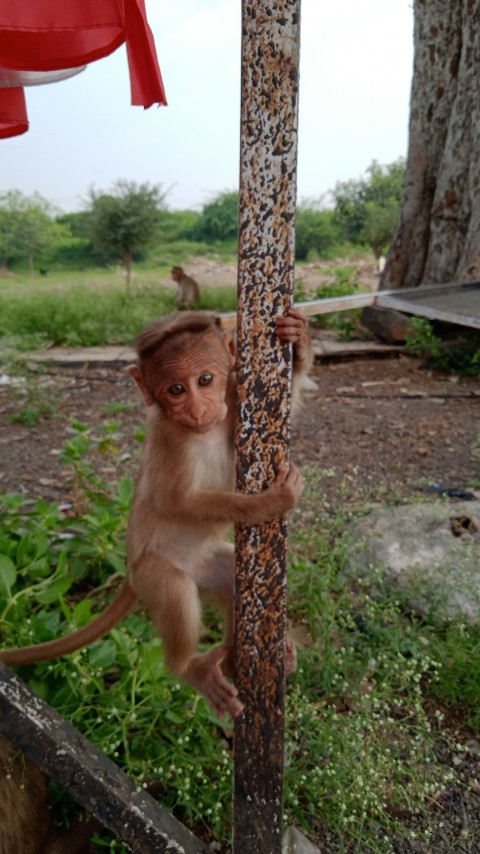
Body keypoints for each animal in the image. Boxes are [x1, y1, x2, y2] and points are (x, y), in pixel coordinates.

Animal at [0, 310, 314, 720]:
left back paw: (241, 657)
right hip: (153, 575)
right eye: (175, 390)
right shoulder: (170, 438)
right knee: (176, 592)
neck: (205, 430)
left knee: (231, 578)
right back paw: (188, 668)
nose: (197, 410)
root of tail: (131, 569)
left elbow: (284, 398)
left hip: (206, 566)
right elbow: (177, 502)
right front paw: (269, 504)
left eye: (205, 379)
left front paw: (297, 337)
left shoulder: (232, 401)